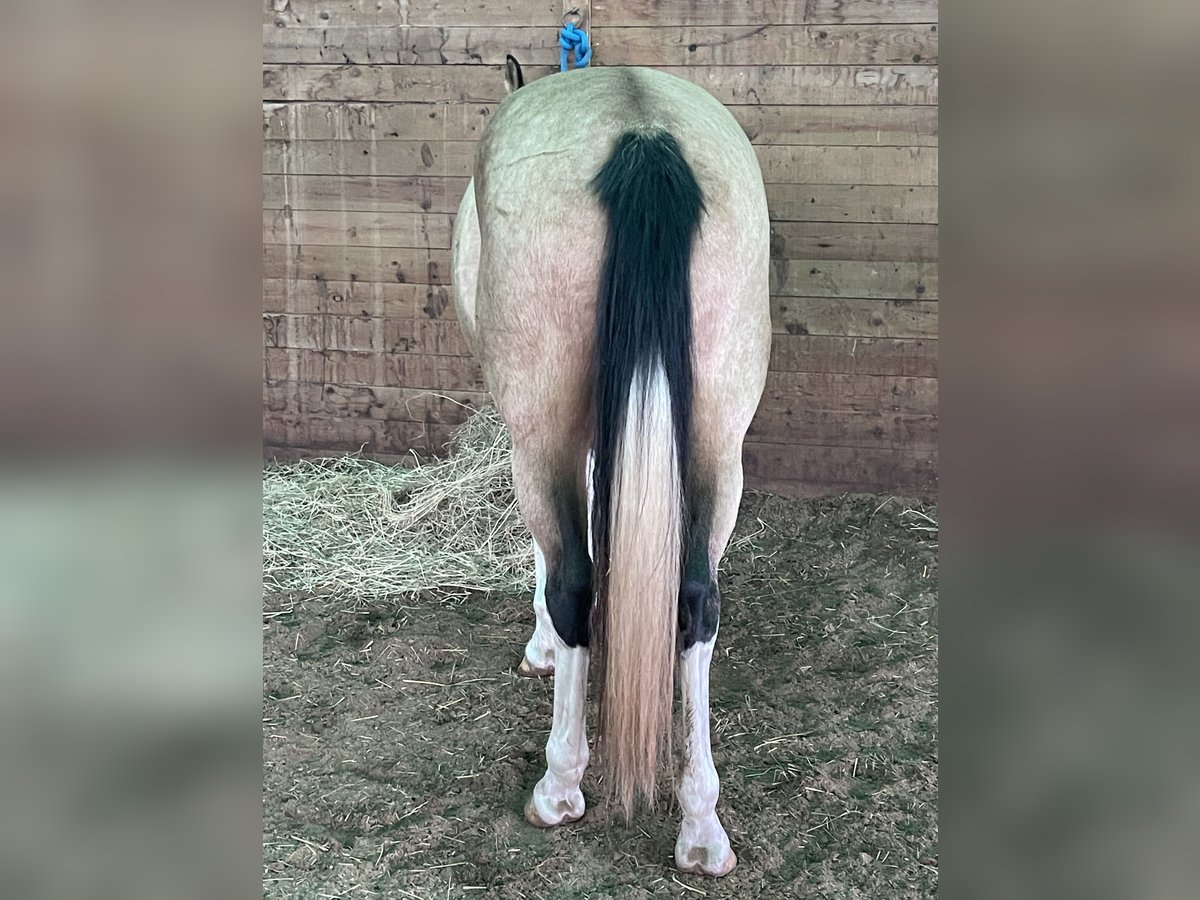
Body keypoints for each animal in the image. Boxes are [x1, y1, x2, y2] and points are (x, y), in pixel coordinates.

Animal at [450, 62, 770, 877]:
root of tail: (643, 131)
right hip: (719, 438)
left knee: (573, 581)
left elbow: (556, 558)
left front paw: (539, 649)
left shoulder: (540, 433)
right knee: (695, 600)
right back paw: (701, 825)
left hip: (540, 430)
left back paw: (560, 783)